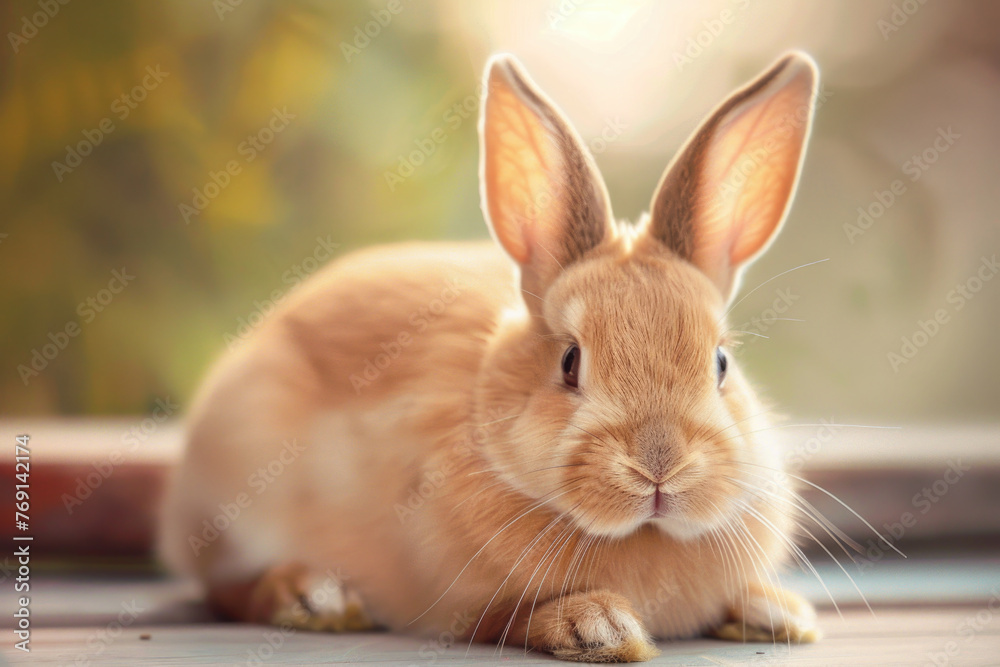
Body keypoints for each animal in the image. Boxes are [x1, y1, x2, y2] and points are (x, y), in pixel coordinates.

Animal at [159, 50, 822, 663]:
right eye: (570, 362)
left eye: (721, 364)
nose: (659, 466)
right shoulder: (458, 604)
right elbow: (509, 617)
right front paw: (597, 625)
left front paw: (778, 611)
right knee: (228, 588)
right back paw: (314, 596)